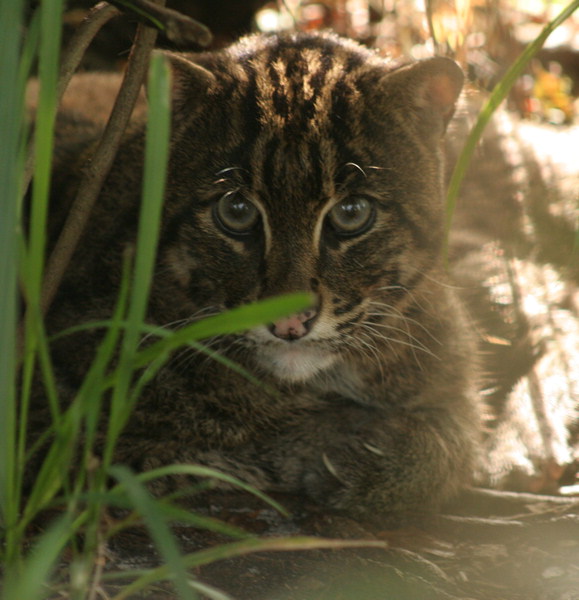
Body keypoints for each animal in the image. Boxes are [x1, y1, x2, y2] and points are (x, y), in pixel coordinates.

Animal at [43, 30, 482, 516]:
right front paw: (337, 442)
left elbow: (456, 442)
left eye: (352, 212)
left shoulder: (455, 380)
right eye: (235, 210)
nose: (290, 322)